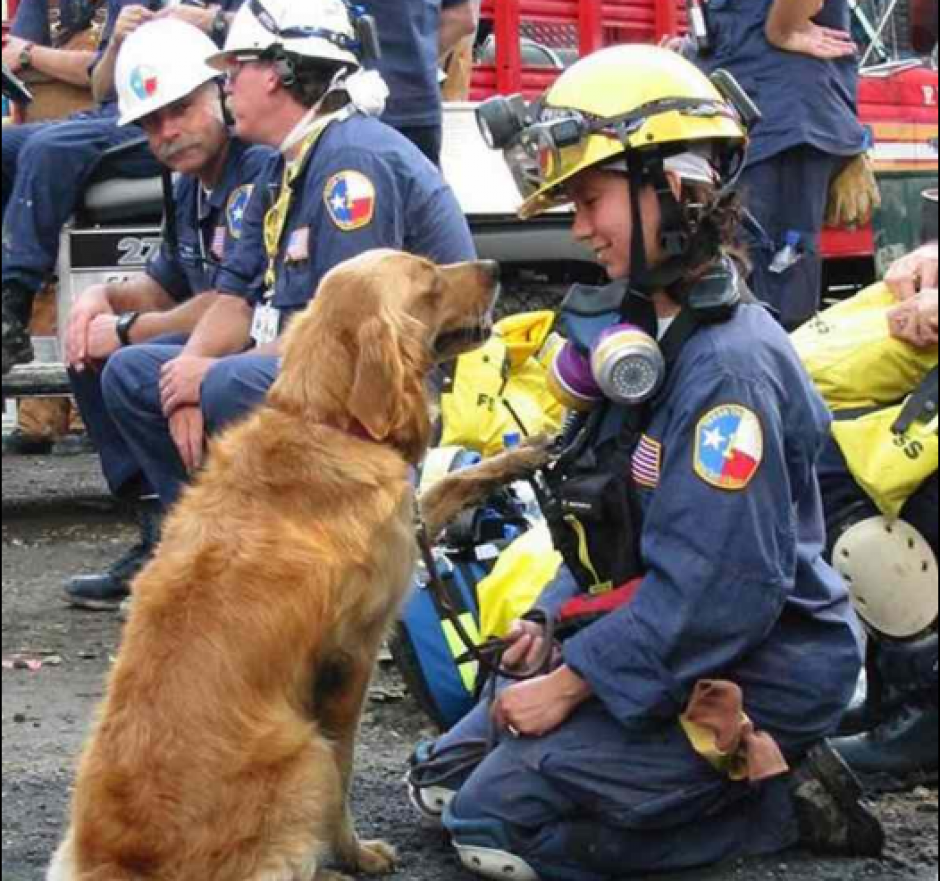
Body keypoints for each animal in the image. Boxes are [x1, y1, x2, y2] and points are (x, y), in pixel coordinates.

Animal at [46, 249, 500, 880]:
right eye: (430, 281)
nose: (496, 267)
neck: (325, 420)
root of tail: (121, 862)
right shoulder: (350, 658)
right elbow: (345, 770)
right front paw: (354, 852)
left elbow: (454, 481)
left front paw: (528, 453)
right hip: (302, 752)